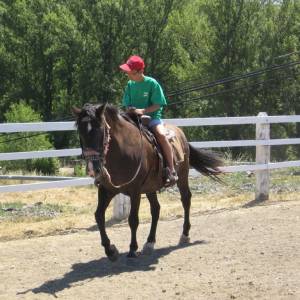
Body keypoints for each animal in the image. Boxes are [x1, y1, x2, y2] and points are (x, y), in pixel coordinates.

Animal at [72, 102, 223, 260]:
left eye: (100, 130)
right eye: (80, 132)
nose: (93, 169)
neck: (121, 152)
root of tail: (180, 133)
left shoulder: (135, 190)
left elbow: (133, 219)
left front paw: (132, 248)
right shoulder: (106, 189)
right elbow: (99, 216)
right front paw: (110, 250)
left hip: (182, 176)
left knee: (186, 200)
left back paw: (184, 235)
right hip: (151, 187)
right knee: (156, 209)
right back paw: (150, 242)